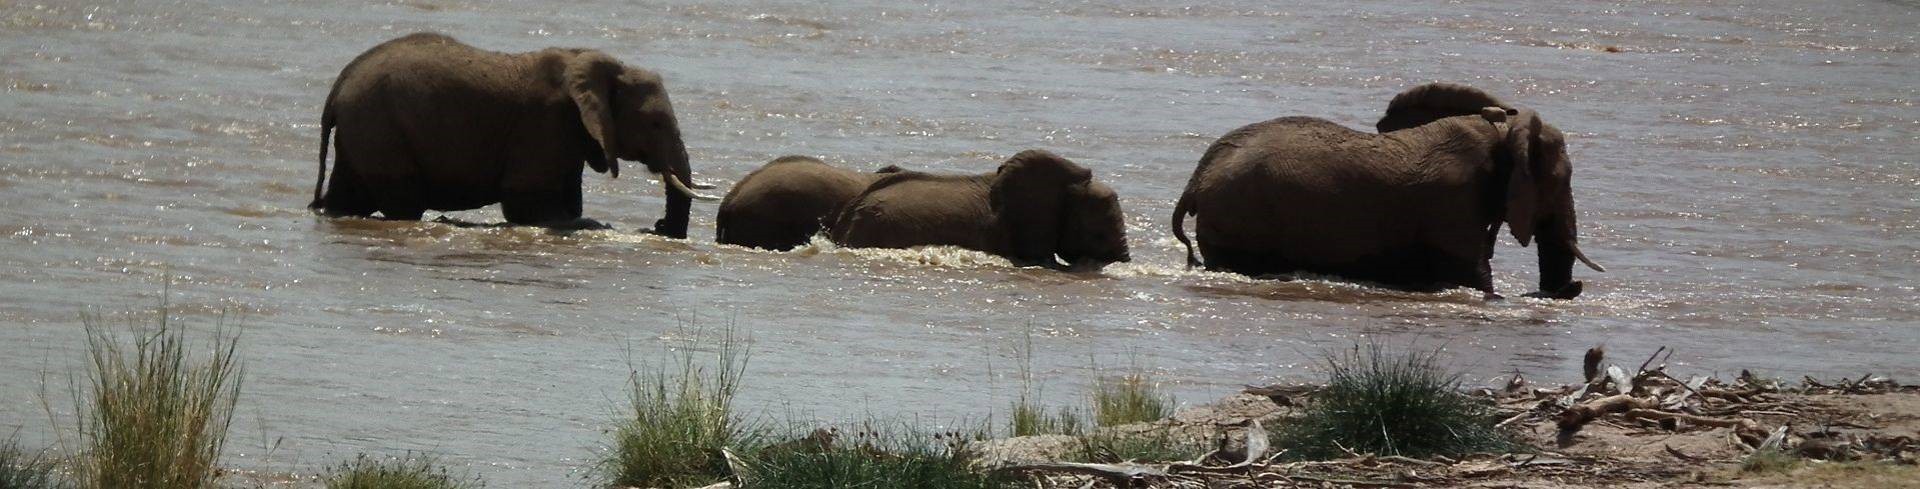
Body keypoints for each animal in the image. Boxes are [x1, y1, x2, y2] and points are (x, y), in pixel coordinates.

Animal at [314, 30, 721, 236]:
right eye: (655, 123)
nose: (657, 226)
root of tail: (338, 87)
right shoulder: (543, 122)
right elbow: (527, 203)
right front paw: (593, 225)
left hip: (364, 131)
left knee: (348, 197)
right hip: (379, 127)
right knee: (403, 202)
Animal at [1167, 82, 1605, 299]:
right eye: (1561, 180)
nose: (1568, 290)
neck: (1502, 130)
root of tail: (1196, 179)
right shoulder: (1453, 204)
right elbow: (1472, 274)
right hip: (1241, 219)